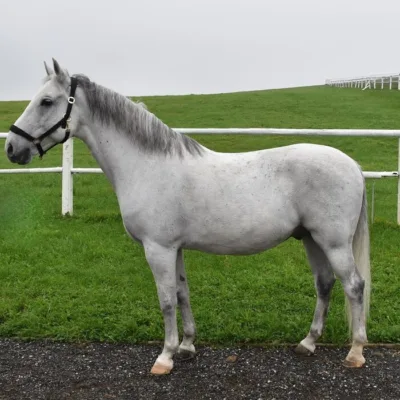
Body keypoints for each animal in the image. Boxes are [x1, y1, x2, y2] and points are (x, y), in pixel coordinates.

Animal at [4, 59, 370, 376]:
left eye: (46, 101)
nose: (11, 149)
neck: (146, 165)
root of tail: (354, 166)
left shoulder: (158, 248)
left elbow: (166, 300)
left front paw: (165, 357)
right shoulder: (174, 248)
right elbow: (182, 293)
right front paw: (187, 346)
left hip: (333, 243)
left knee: (354, 286)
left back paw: (355, 352)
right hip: (311, 239)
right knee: (325, 284)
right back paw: (308, 343)